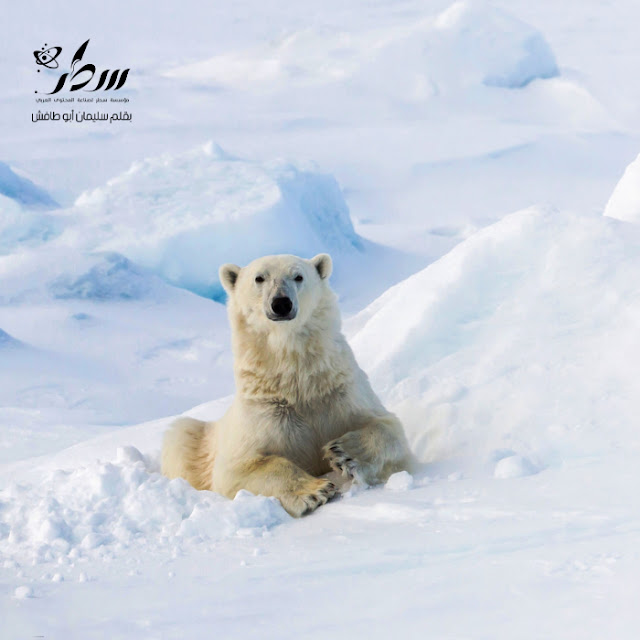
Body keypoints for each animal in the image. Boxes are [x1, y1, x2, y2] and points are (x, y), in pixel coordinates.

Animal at [160, 252, 410, 516]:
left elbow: (389, 426)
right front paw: (315, 490)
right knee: (180, 433)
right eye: (259, 278)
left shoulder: (341, 392)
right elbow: (238, 468)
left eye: (298, 276)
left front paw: (343, 453)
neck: (296, 379)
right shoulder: (264, 412)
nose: (281, 303)